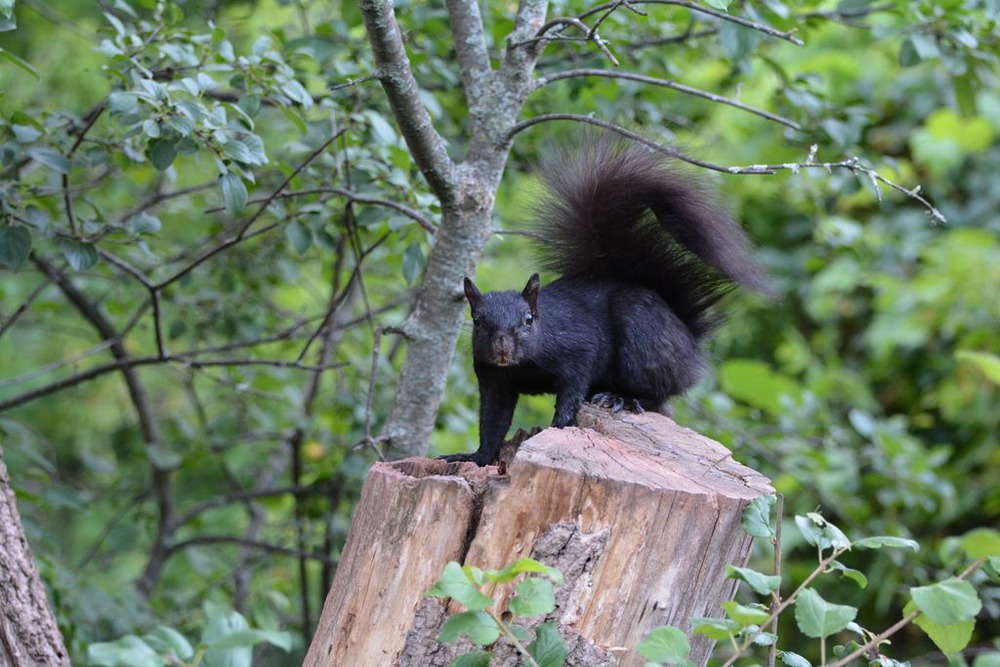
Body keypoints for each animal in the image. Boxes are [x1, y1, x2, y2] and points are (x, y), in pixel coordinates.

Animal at [448, 139, 772, 468]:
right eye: (477, 321)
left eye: (528, 319)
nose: (502, 346)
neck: (524, 362)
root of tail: (689, 341)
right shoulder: (493, 379)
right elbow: (493, 421)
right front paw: (477, 456)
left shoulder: (579, 350)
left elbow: (571, 393)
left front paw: (559, 429)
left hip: (642, 335)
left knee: (660, 396)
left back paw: (622, 399)